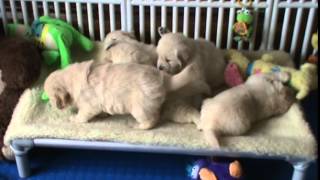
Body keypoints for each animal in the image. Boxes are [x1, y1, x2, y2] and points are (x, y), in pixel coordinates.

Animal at [43, 60, 204, 129]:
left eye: (50, 97)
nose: (52, 106)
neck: (69, 80)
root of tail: (164, 79)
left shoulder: (88, 105)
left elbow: (82, 115)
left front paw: (74, 118)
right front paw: (103, 115)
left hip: (139, 108)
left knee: (151, 120)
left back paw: (137, 126)